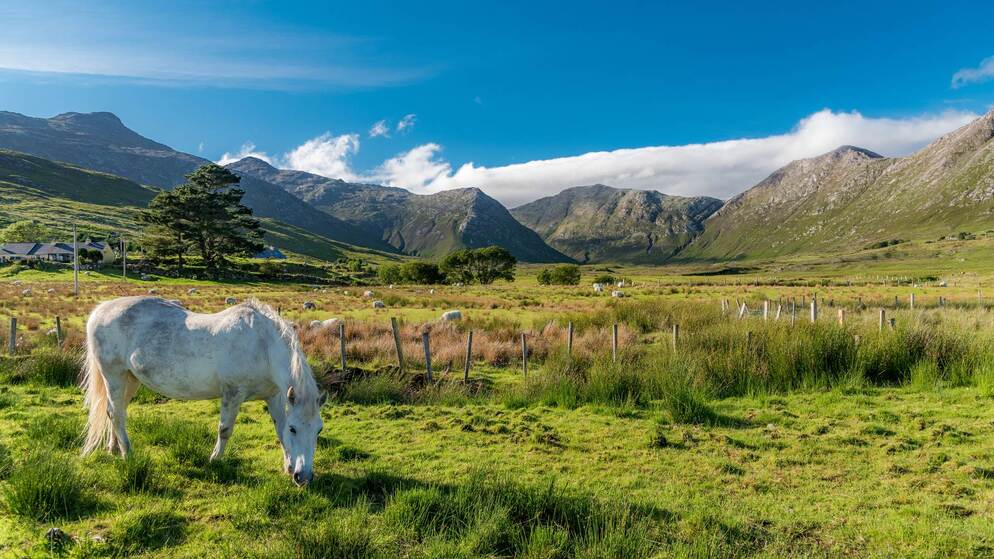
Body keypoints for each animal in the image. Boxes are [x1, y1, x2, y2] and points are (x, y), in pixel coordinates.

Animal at [81, 297, 326, 486]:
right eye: (295, 429)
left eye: (319, 430)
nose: (304, 476)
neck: (263, 346)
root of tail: (100, 310)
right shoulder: (232, 393)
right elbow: (225, 430)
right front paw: (215, 460)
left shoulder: (274, 396)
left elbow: (279, 430)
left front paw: (288, 466)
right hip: (114, 376)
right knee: (115, 413)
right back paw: (128, 453)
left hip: (130, 380)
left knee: (116, 411)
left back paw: (114, 448)